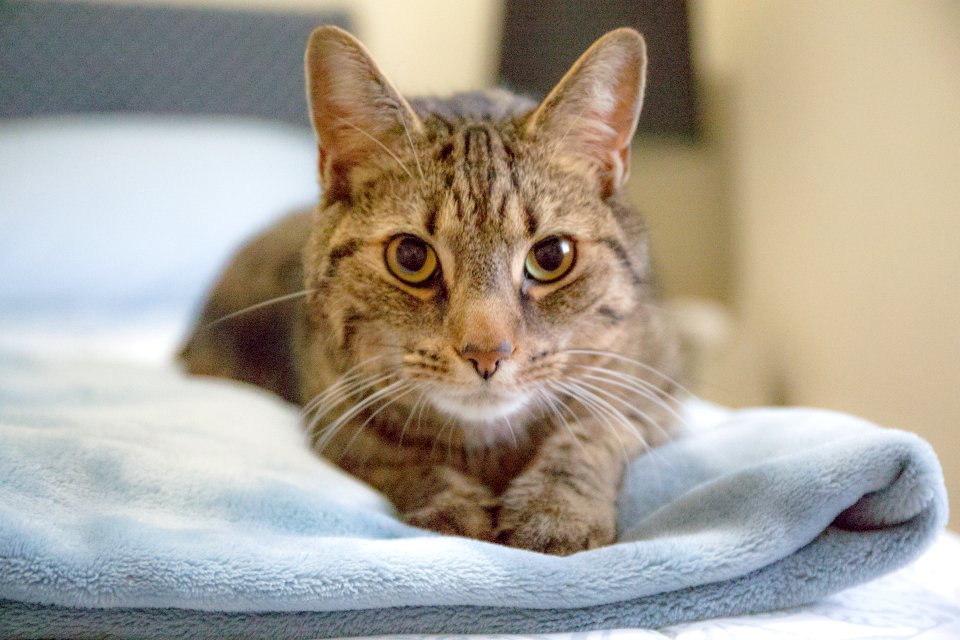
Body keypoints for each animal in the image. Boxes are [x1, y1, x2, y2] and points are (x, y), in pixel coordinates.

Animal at [182, 25, 684, 556]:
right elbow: (404, 460)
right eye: (410, 257)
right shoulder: (332, 413)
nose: (487, 353)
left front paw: (555, 510)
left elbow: (589, 434)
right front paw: (456, 508)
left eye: (551, 256)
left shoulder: (655, 383)